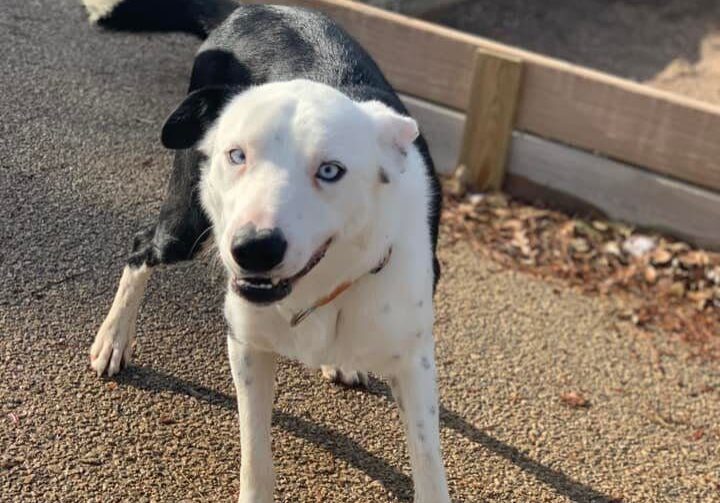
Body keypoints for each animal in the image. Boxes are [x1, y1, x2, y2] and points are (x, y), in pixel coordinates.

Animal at [83, 1, 444, 502]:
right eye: (237, 155)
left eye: (330, 170)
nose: (253, 249)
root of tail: (248, 8)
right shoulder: (248, 346)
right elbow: (256, 456)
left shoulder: (414, 361)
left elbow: (428, 464)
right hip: (186, 224)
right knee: (141, 247)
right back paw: (113, 338)